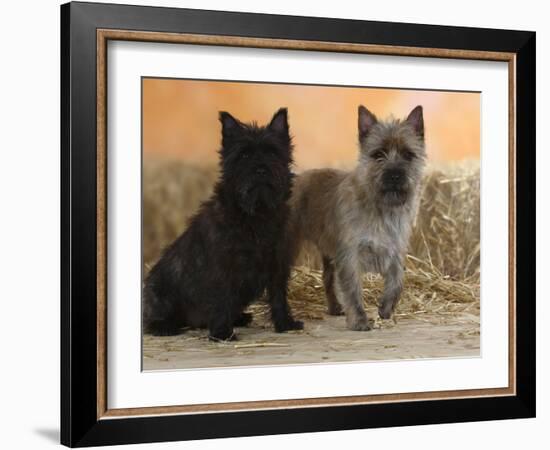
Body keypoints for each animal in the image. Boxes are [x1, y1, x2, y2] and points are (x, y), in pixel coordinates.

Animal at [142, 108, 304, 342]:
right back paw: (164, 326)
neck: (256, 214)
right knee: (153, 317)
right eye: (244, 155)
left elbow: (278, 296)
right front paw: (221, 333)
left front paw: (285, 324)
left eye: (272, 153)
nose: (260, 169)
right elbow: (221, 298)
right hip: (160, 289)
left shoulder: (277, 263)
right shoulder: (222, 268)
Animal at [292, 105, 430, 330]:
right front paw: (358, 320)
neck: (381, 208)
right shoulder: (350, 256)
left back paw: (334, 307)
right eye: (378, 154)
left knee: (328, 277)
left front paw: (386, 309)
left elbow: (397, 281)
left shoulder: (394, 252)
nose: (394, 174)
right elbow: (353, 290)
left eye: (408, 154)